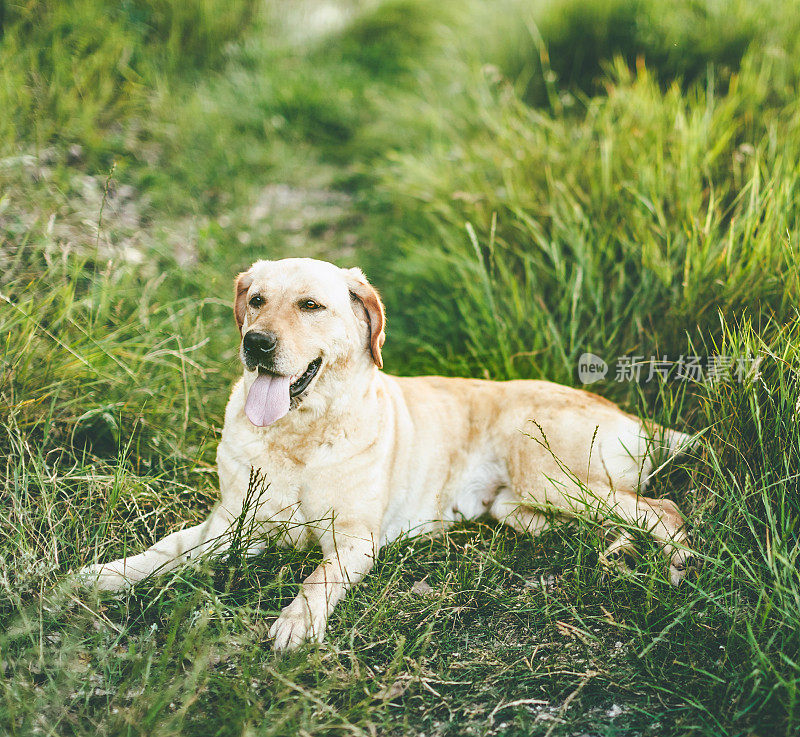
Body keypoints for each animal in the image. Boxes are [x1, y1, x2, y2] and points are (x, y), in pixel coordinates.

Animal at [83, 256, 692, 648]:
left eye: (310, 306)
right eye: (255, 300)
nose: (254, 343)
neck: (300, 436)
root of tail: (637, 417)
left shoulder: (354, 541)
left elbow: (316, 580)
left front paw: (298, 623)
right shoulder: (228, 526)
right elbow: (161, 551)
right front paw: (104, 575)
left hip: (547, 471)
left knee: (665, 511)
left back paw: (674, 569)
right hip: (518, 507)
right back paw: (616, 551)